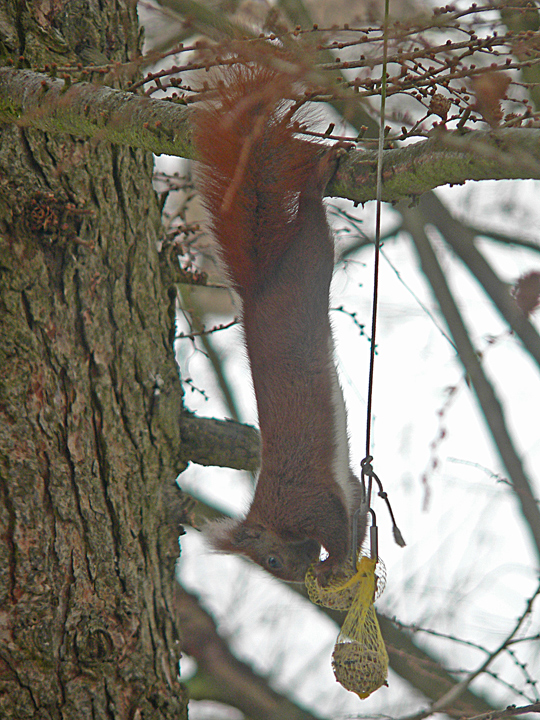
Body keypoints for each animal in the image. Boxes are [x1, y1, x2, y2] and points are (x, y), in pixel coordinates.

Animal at [192, 65, 366, 582]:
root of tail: (258, 292)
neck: (272, 514)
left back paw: (319, 177)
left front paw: (336, 564)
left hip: (309, 260)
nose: (294, 573)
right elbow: (357, 505)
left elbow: (336, 525)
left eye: (269, 560)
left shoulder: (307, 501)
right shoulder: (344, 486)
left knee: (311, 220)